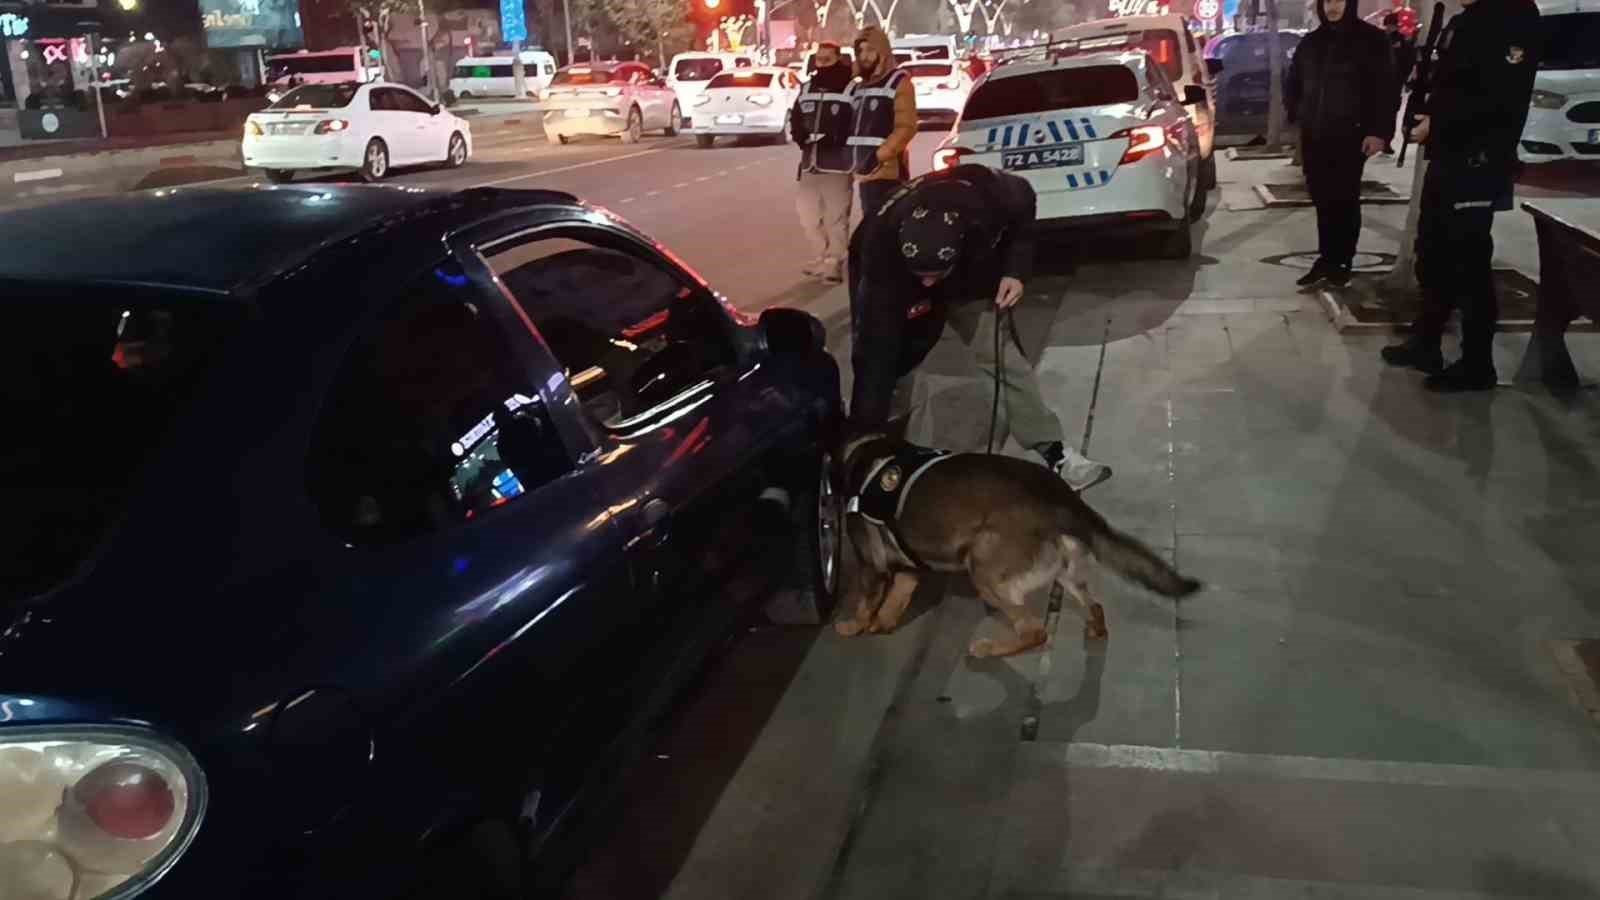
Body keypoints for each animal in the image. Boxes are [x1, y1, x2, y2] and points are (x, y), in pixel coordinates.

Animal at [838, 432, 1203, 656]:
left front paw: (853, 626)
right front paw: (882, 623)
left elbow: (865, 604)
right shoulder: (908, 568)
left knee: (1034, 632)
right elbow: (895, 599)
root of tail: (1063, 502)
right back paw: (1096, 630)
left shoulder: (871, 566)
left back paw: (988, 649)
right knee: (1095, 605)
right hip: (1065, 574)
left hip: (984, 571)